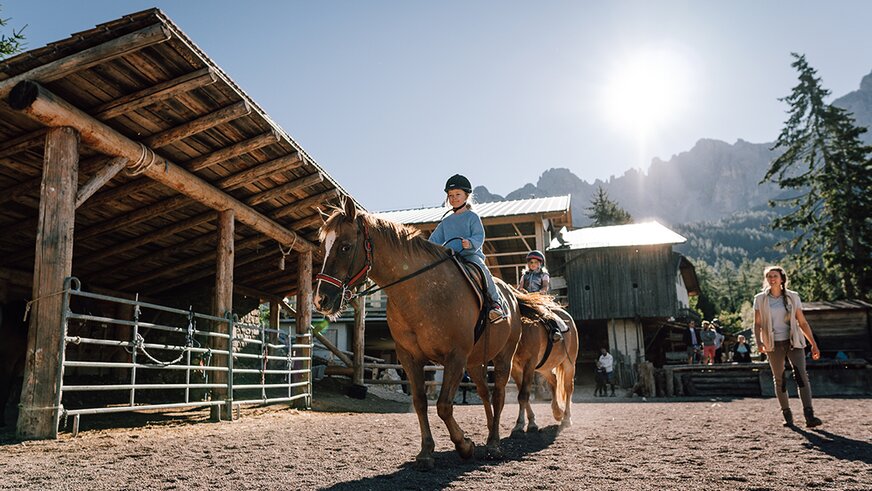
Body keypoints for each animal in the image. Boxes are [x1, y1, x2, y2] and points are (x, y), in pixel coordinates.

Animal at [316, 200, 524, 468]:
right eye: (323, 246)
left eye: (345, 246)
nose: (321, 300)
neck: (422, 293)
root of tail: (511, 294)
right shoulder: (410, 357)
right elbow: (420, 402)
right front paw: (426, 452)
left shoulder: (455, 357)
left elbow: (444, 405)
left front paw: (465, 445)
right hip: (475, 363)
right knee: (486, 394)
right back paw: (489, 436)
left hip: (503, 358)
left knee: (498, 395)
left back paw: (494, 446)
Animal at [510, 302, 580, 436]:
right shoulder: (515, 369)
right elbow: (522, 395)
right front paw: (529, 423)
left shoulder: (529, 365)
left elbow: (523, 395)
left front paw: (521, 425)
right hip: (545, 367)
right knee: (554, 381)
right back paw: (557, 412)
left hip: (569, 363)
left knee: (568, 388)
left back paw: (566, 418)